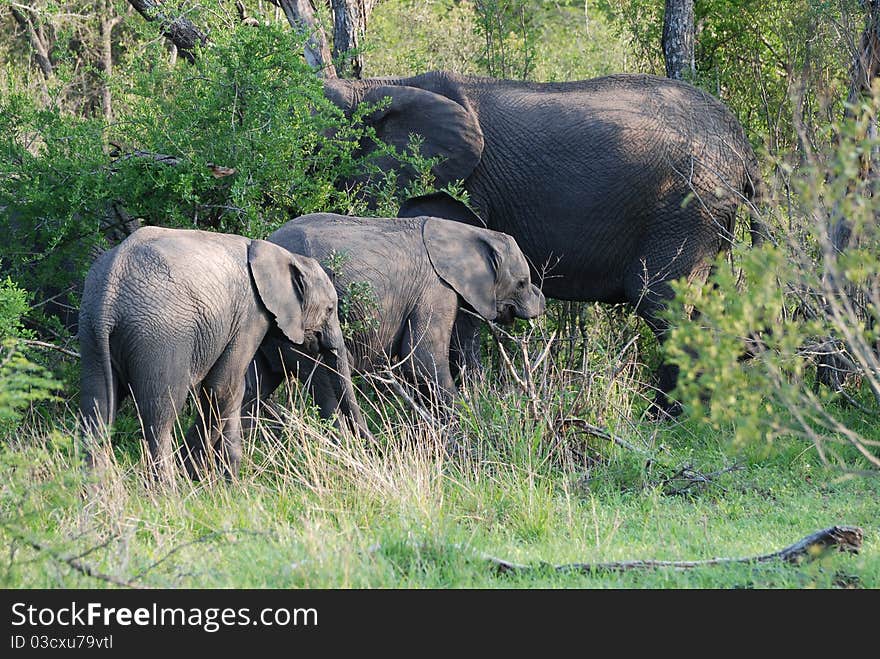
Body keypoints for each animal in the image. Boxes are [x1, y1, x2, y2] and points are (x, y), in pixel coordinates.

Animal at [75, 226, 364, 480]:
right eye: (330, 309)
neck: (281, 254)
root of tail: (108, 297)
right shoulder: (251, 314)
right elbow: (223, 387)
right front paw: (199, 476)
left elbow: (238, 390)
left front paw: (225, 478)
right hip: (160, 336)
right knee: (160, 414)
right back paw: (166, 492)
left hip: (90, 333)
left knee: (97, 409)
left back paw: (94, 496)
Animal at [246, 215, 544, 412]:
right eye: (521, 283)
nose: (541, 301)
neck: (465, 232)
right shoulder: (435, 289)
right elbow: (423, 360)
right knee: (324, 386)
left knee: (254, 385)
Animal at [326, 69, 768, 416]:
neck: (376, 85)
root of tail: (745, 148)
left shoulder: (461, 189)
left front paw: (473, 398)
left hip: (687, 207)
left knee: (660, 301)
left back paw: (665, 419)